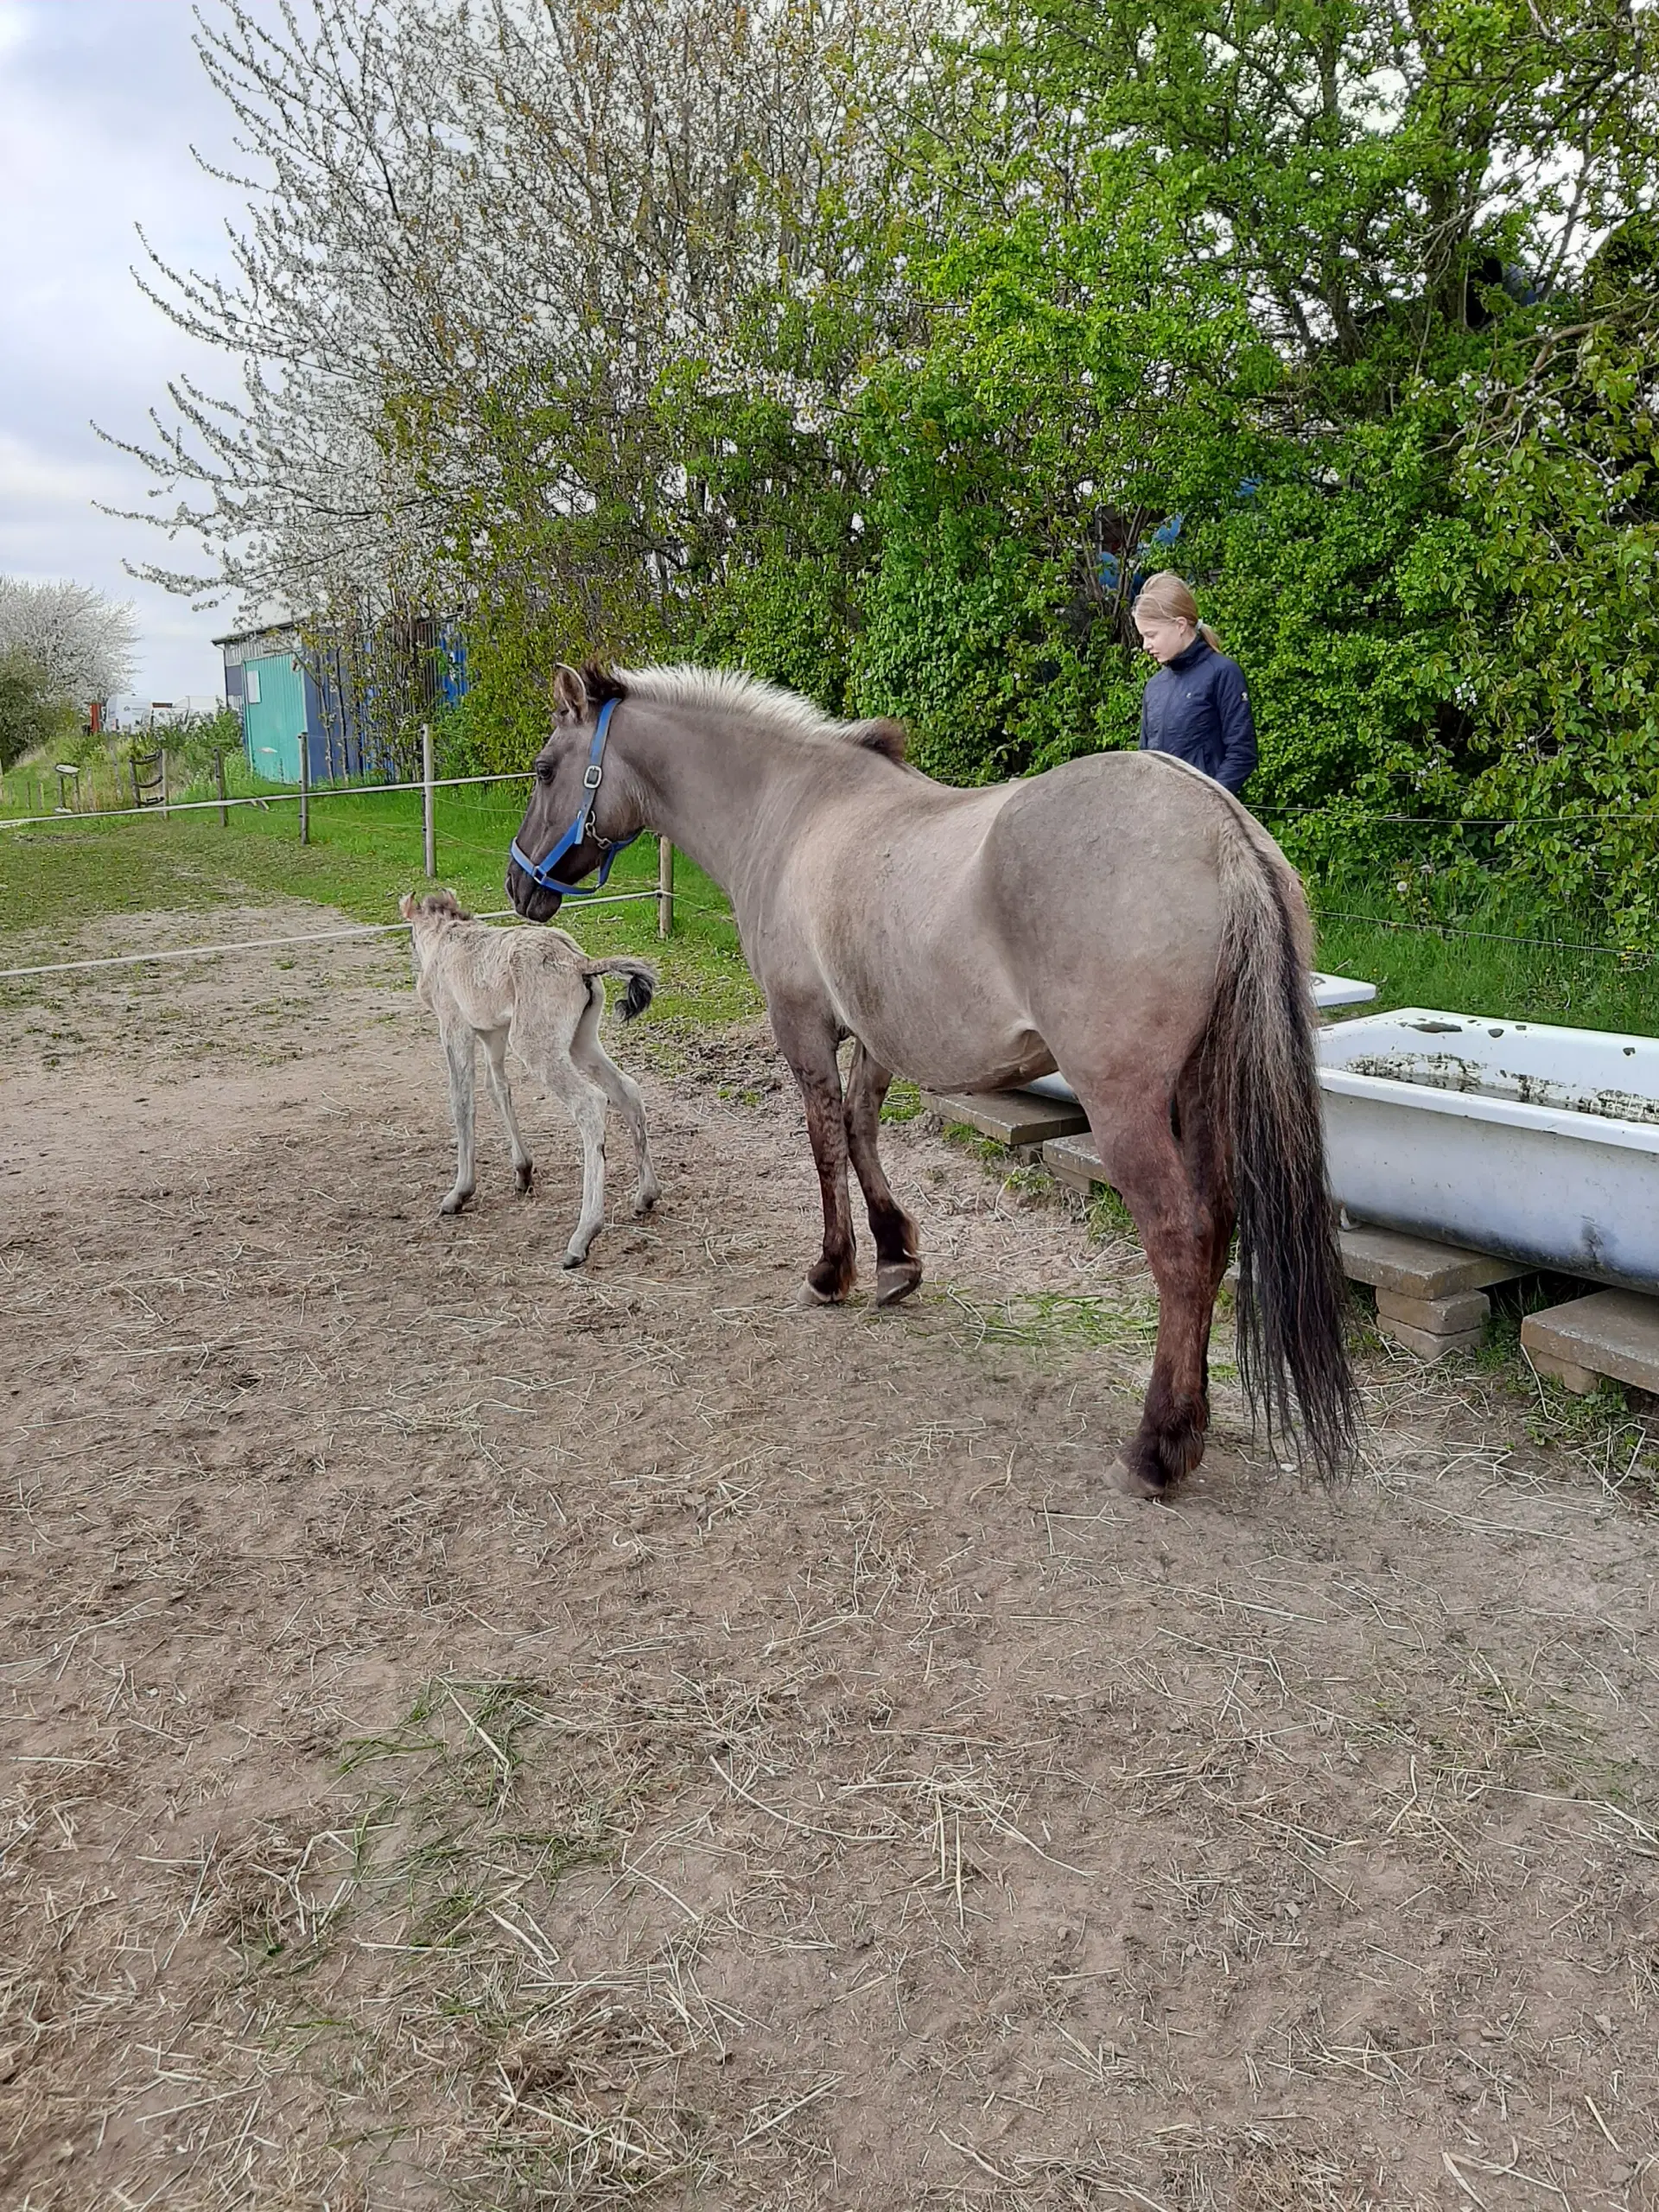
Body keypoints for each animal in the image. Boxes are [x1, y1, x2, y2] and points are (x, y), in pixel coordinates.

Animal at [504, 654, 1353, 1486]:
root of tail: (1222, 831)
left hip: (1129, 1108)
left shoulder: (803, 1026)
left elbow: (824, 1145)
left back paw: (1159, 1444)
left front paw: (832, 1270)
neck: (793, 809)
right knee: (1216, 1232)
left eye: (545, 770)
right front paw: (894, 1257)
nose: (518, 886)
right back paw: (1194, 1418)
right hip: (1204, 1094)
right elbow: (860, 1130)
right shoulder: (878, 1035)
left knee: (1181, 1241)